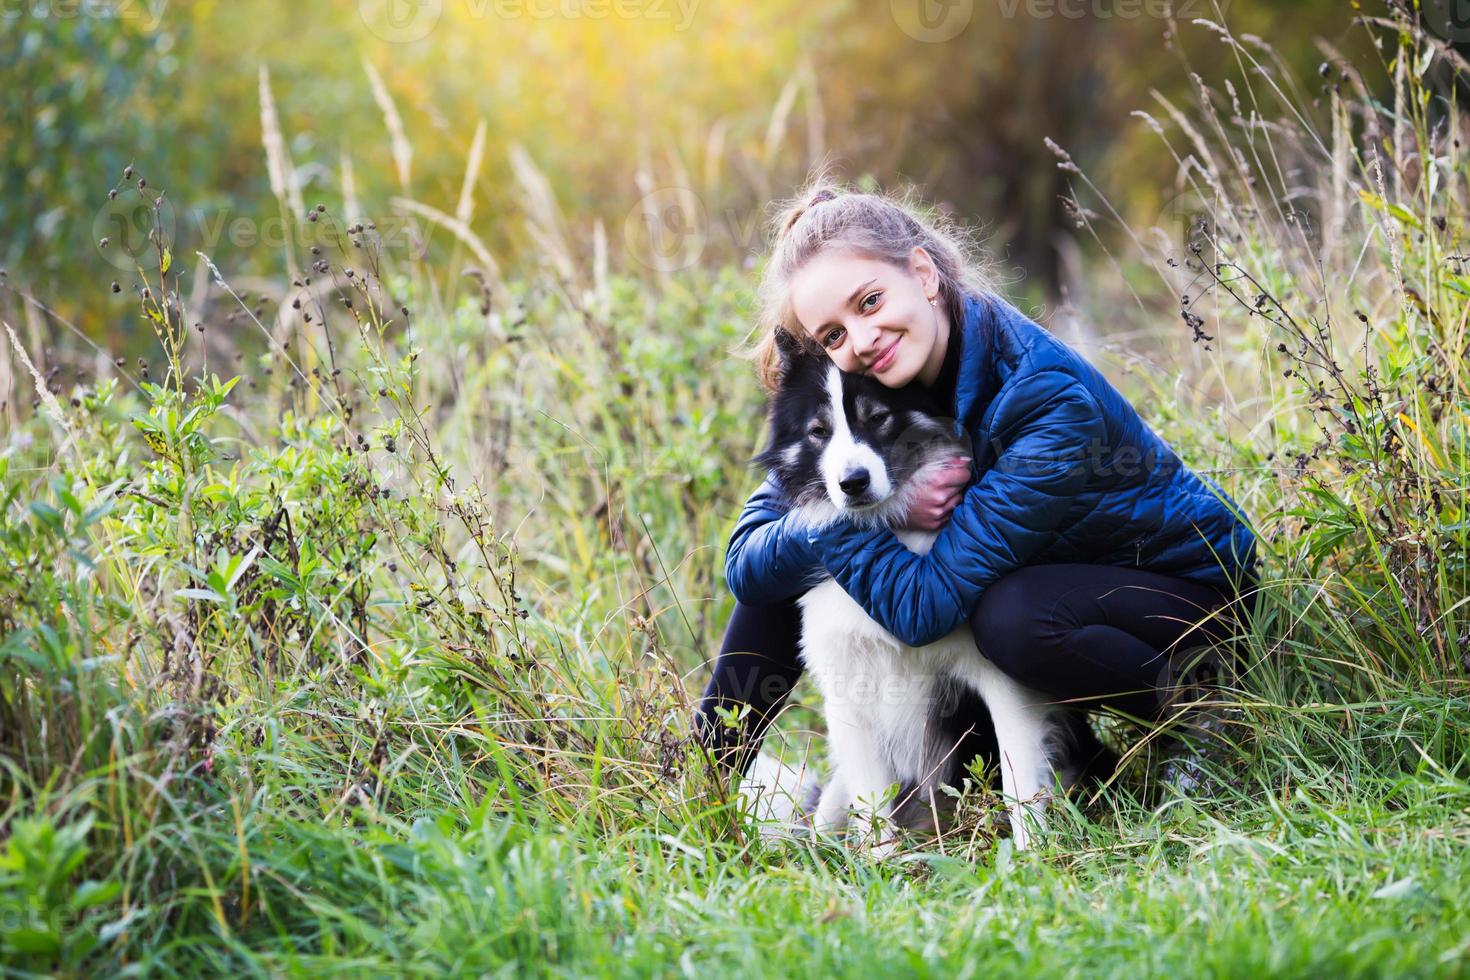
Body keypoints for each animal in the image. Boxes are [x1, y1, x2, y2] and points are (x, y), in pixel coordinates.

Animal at [746, 332, 1093, 852]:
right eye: (818, 431)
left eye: (877, 418)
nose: (853, 483)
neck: (890, 536)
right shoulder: (850, 694)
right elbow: (873, 808)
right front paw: (882, 864)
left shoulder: (1001, 685)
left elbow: (1020, 783)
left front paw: (1032, 856)